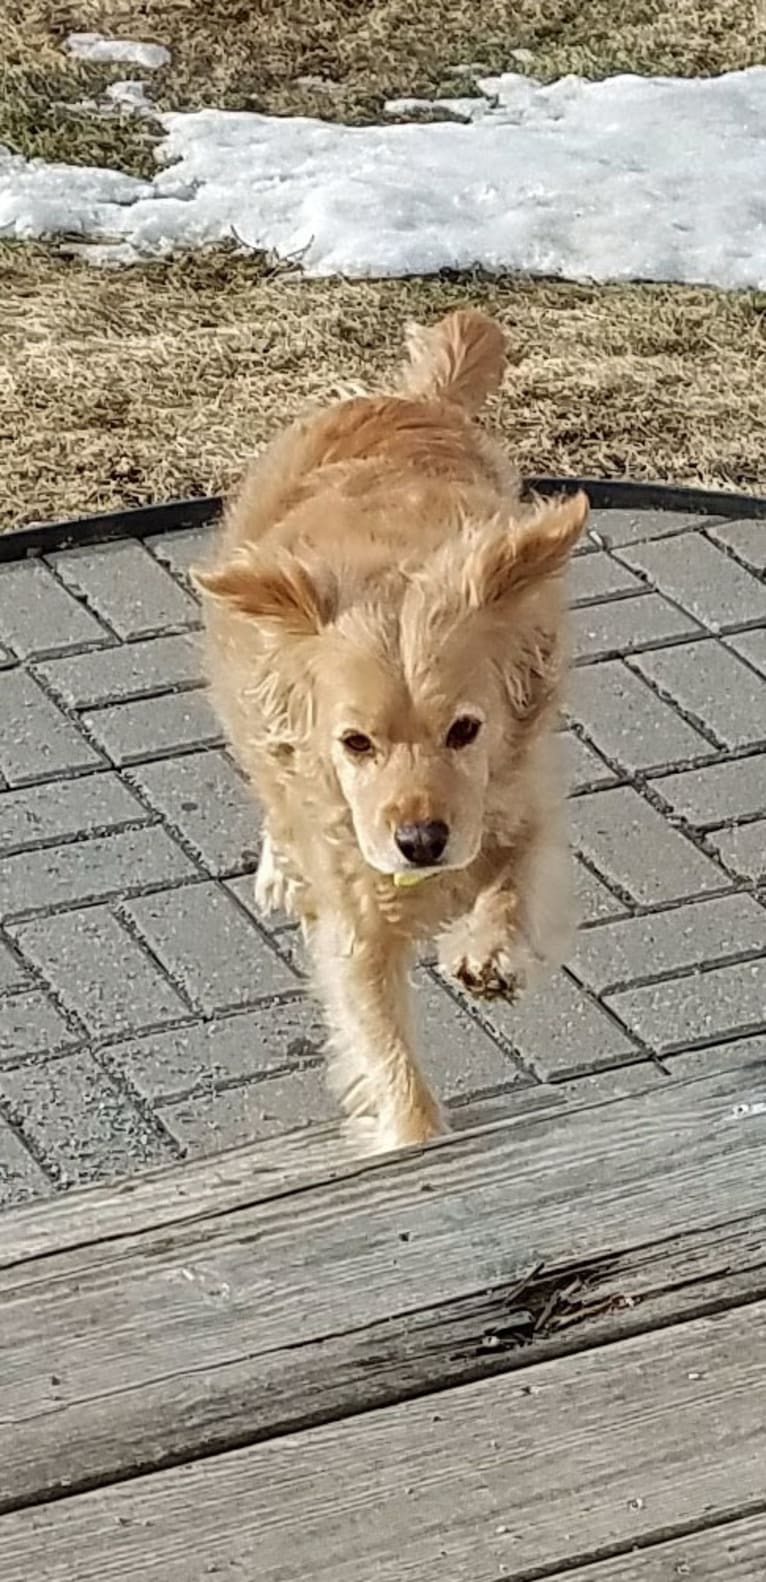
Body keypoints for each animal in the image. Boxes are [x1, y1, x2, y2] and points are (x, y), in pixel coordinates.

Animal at [194, 311, 588, 1151]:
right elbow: (385, 1050)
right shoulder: (353, 919)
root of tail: (412, 398)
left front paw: (487, 950)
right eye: (355, 743)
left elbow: (520, 875)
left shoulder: (525, 792)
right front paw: (413, 1134)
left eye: (466, 729)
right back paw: (279, 869)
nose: (421, 841)